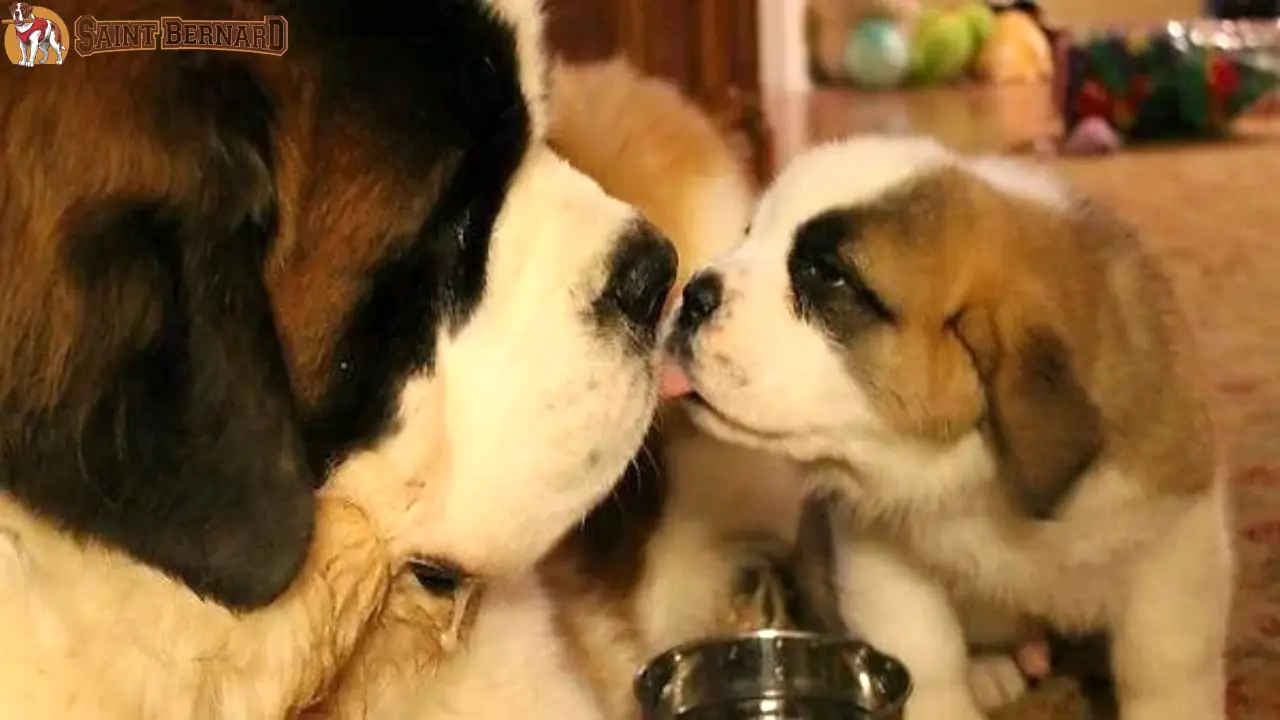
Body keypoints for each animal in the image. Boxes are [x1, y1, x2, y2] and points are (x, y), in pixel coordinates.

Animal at [660, 135, 1228, 717]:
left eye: (831, 278)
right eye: (750, 234)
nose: (693, 294)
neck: (973, 463)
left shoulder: (1172, 531)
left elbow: (1164, 659)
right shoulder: (880, 550)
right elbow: (927, 653)